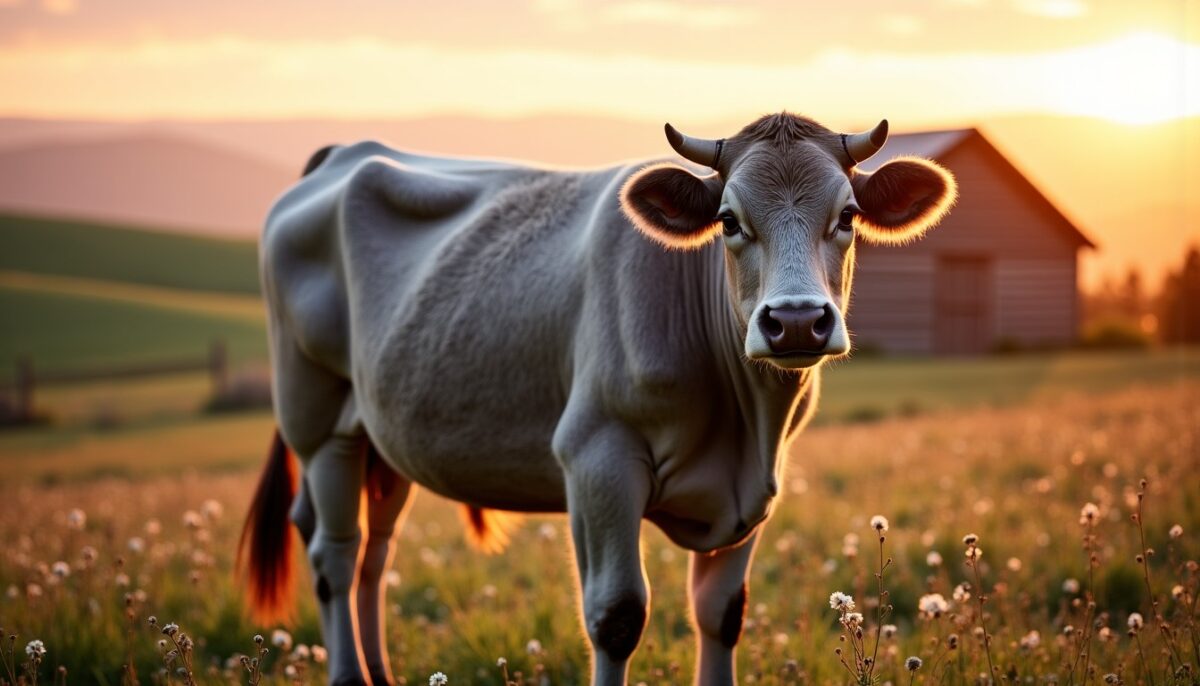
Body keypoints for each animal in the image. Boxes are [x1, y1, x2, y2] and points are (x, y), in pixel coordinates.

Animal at [239, 112, 956, 686]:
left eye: (848, 216)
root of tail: (346, 152)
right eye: (727, 220)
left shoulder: (756, 490)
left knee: (373, 552)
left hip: (383, 443)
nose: (798, 321)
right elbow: (616, 616)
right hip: (319, 421)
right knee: (334, 553)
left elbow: (721, 615)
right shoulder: (596, 459)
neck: (742, 426)